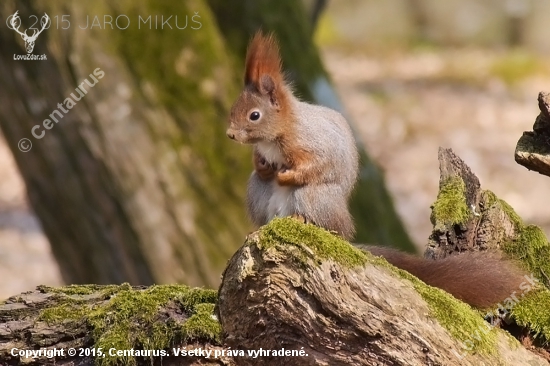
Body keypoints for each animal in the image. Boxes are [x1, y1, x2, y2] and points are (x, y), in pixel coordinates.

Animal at [226, 31, 528, 308]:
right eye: (233, 109)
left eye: (254, 115)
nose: (230, 135)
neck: (277, 133)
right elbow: (261, 162)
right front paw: (263, 166)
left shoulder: (315, 144)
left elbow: (318, 166)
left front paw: (285, 174)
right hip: (258, 193)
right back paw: (257, 229)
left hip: (314, 197)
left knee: (323, 221)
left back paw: (301, 219)